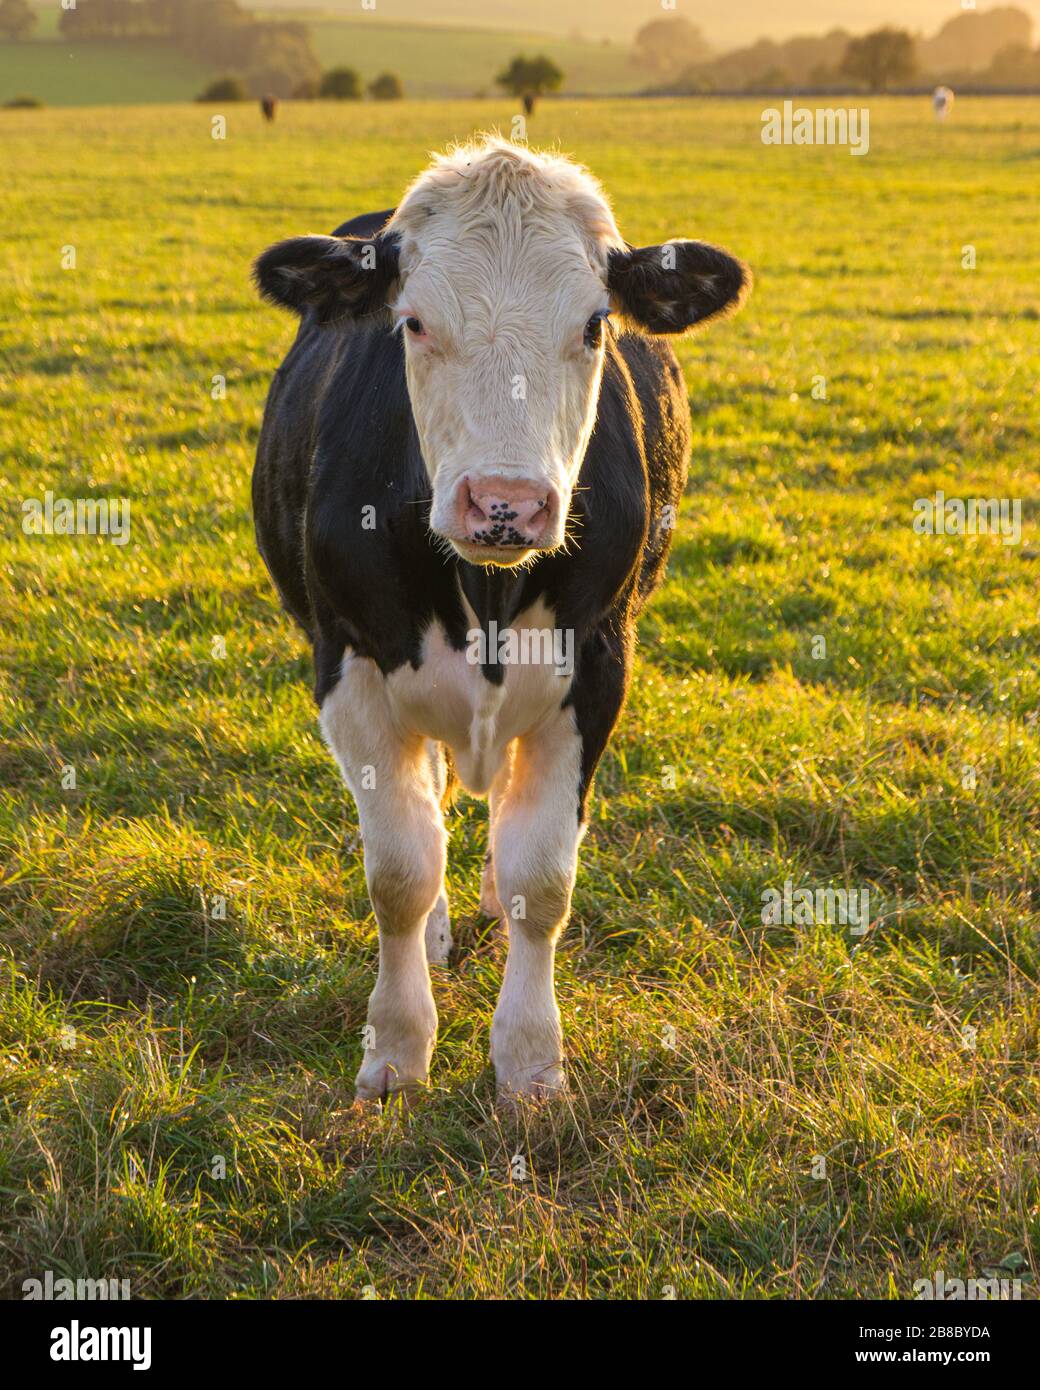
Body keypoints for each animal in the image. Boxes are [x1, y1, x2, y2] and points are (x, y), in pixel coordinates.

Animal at [254, 138, 756, 1095]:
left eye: (595, 325)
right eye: (412, 323)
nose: (506, 504)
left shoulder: (597, 668)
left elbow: (543, 877)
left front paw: (529, 1062)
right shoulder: (349, 666)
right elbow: (400, 871)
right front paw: (396, 1049)